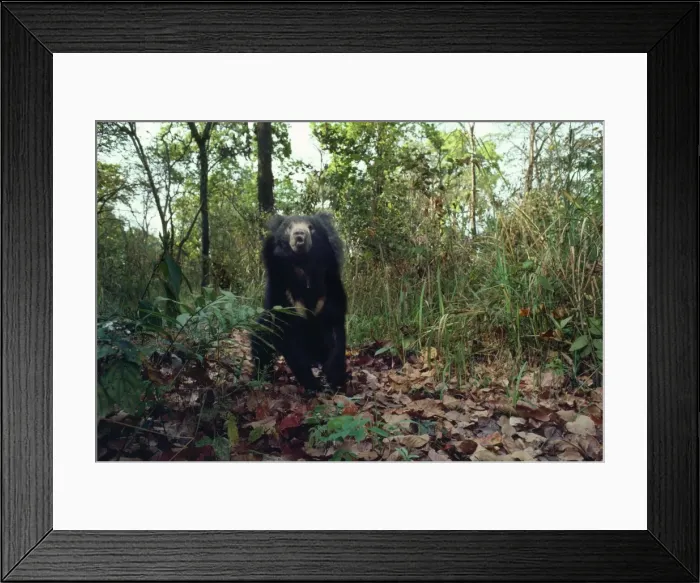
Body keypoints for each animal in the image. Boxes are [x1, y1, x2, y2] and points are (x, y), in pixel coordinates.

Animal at [250, 211, 349, 394]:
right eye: (289, 227)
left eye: (311, 227)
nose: (299, 235)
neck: (304, 264)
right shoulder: (282, 290)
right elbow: (287, 335)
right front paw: (313, 383)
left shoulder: (330, 289)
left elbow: (335, 329)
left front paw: (333, 377)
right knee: (260, 340)